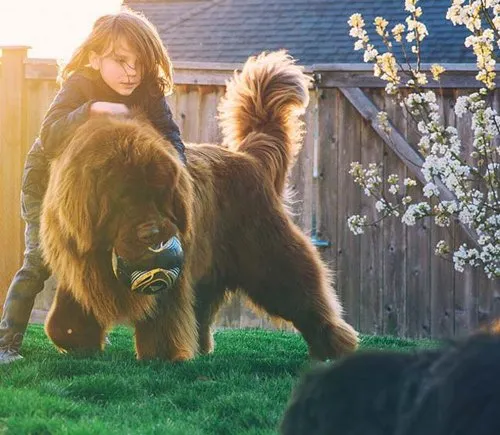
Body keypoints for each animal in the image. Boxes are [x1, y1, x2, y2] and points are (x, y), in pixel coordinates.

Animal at [41, 52, 358, 362]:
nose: (152, 234)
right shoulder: (79, 261)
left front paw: (163, 356)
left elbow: (164, 316)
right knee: (203, 308)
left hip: (268, 255)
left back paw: (332, 344)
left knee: (302, 293)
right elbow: (68, 312)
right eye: (122, 197)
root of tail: (250, 158)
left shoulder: (172, 274)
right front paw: (76, 339)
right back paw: (203, 346)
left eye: (159, 195)